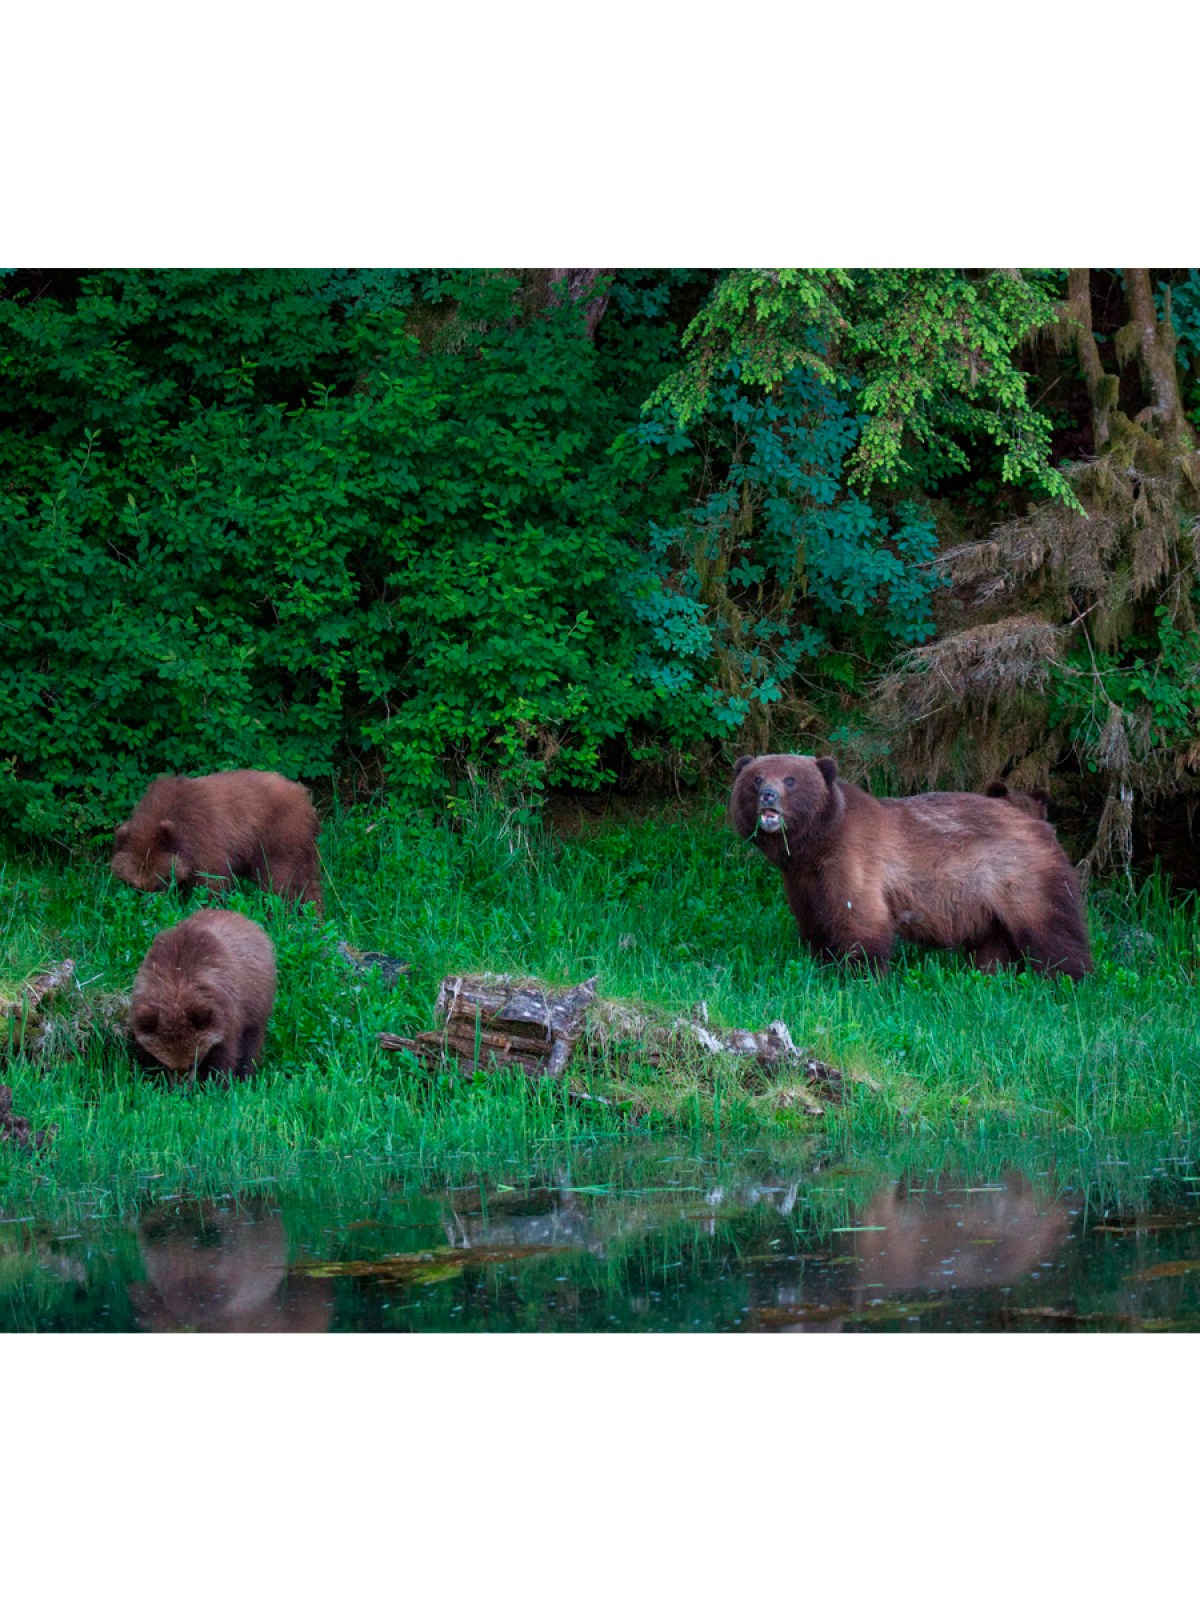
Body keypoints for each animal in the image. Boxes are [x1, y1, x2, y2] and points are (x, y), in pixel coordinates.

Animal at [112, 769, 322, 910]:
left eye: (158, 883)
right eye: (136, 887)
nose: (149, 909)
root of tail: (305, 797)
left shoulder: (205, 838)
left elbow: (211, 881)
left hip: (280, 836)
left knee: (277, 880)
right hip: (302, 846)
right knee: (309, 882)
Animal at [129, 908, 277, 1081]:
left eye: (194, 1061)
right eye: (167, 1064)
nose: (182, 1086)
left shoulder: (226, 1015)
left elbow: (224, 1055)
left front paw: (219, 1081)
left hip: (256, 1003)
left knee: (251, 1041)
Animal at [730, 754, 1091, 979]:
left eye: (791, 779)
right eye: (756, 777)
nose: (768, 795)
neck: (818, 842)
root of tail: (1040, 824)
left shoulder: (854, 860)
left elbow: (860, 920)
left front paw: (862, 975)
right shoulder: (803, 880)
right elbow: (815, 920)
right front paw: (822, 962)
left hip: (1021, 877)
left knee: (1052, 930)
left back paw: (1068, 980)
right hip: (987, 902)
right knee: (994, 942)